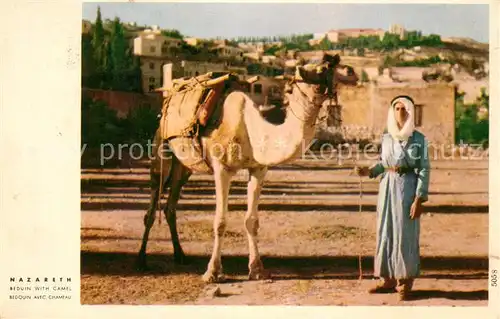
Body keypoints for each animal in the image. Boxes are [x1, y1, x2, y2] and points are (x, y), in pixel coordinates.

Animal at [135, 53, 358, 284]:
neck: (251, 127)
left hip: (184, 167)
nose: (350, 71)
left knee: (171, 206)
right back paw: (141, 260)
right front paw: (212, 272)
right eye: (322, 67)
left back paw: (180, 255)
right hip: (161, 152)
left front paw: (257, 269)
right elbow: (220, 221)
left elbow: (252, 220)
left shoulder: (258, 169)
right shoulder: (222, 168)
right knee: (152, 205)